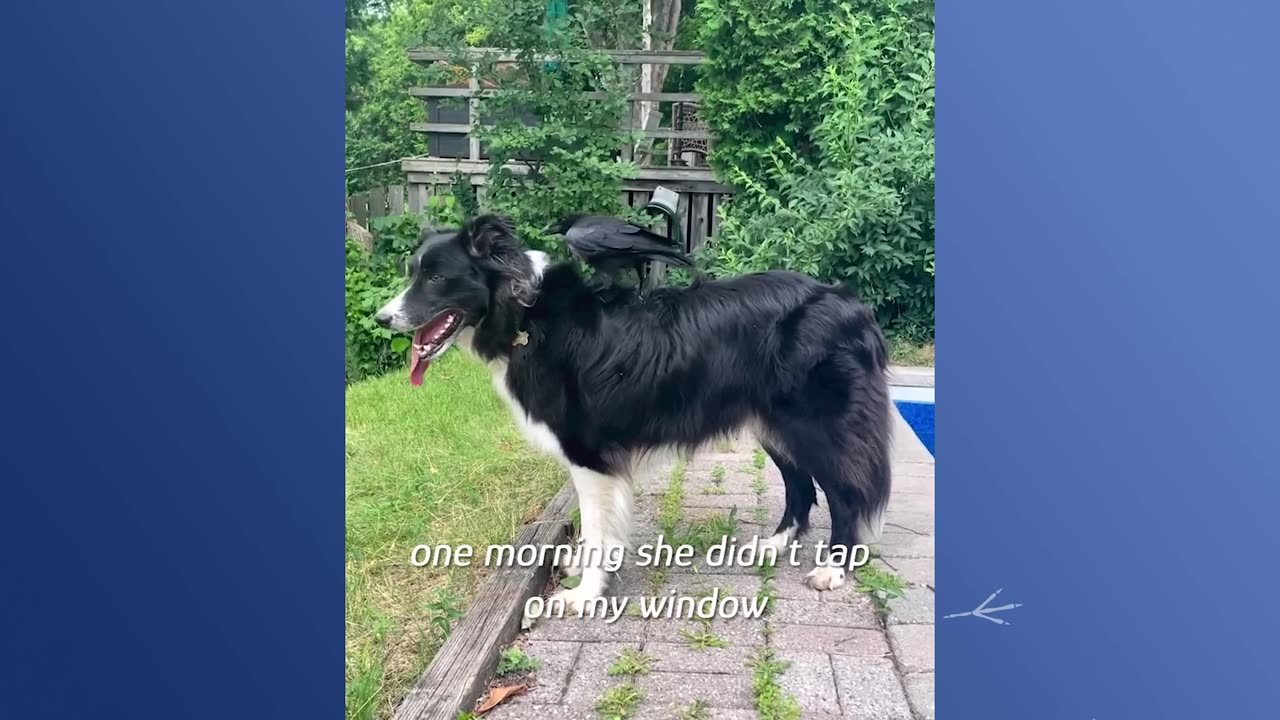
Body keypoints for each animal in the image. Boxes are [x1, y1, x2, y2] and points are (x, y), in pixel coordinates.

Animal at [371, 215, 890, 607]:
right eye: (414, 273)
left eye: (437, 278)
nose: (382, 318)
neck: (525, 315)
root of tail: (851, 303)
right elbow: (595, 530)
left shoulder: (589, 456)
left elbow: (599, 529)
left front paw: (585, 595)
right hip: (771, 423)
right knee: (800, 484)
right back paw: (776, 544)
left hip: (813, 424)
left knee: (844, 492)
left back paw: (834, 568)